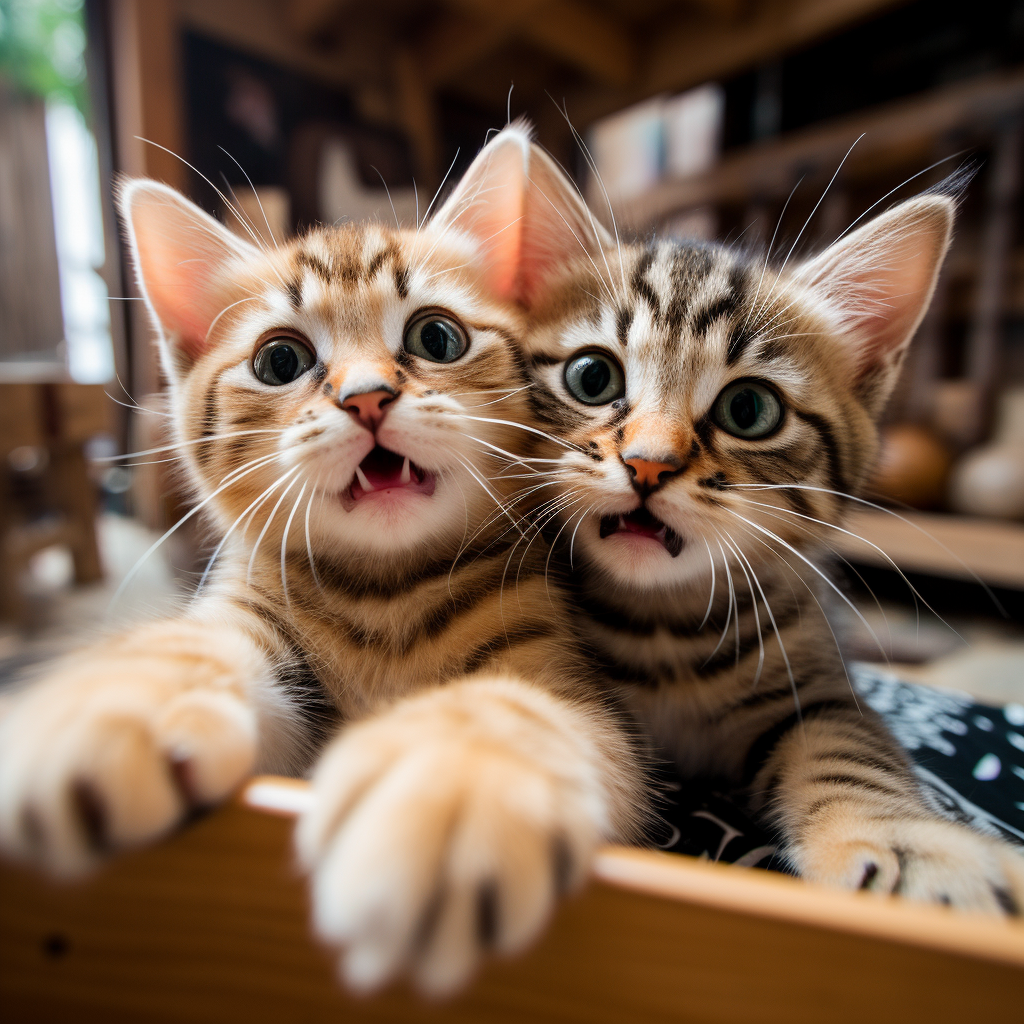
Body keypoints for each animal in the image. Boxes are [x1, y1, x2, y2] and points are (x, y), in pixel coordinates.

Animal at [0, 128, 643, 991]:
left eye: (436, 336)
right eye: (280, 361)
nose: (367, 396)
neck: (385, 596)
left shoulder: (562, 671)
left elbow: (519, 704)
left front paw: (448, 773)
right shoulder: (249, 612)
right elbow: (192, 649)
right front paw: (112, 700)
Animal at [516, 148, 1024, 909]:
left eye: (749, 409)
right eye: (591, 377)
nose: (647, 463)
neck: (662, 628)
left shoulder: (817, 689)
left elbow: (850, 755)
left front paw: (917, 852)